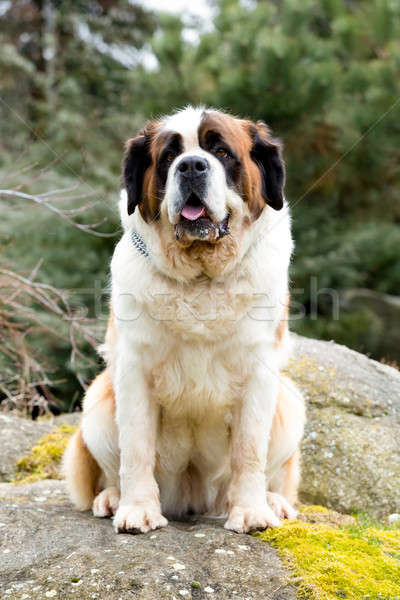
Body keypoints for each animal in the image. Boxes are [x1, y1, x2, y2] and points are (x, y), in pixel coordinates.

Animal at [64, 106, 304, 536]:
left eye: (222, 152)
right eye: (169, 156)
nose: (191, 166)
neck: (200, 278)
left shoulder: (259, 373)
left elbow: (249, 450)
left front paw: (251, 512)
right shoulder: (134, 371)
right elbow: (137, 447)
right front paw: (137, 510)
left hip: (290, 403)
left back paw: (274, 502)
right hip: (97, 404)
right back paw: (112, 498)